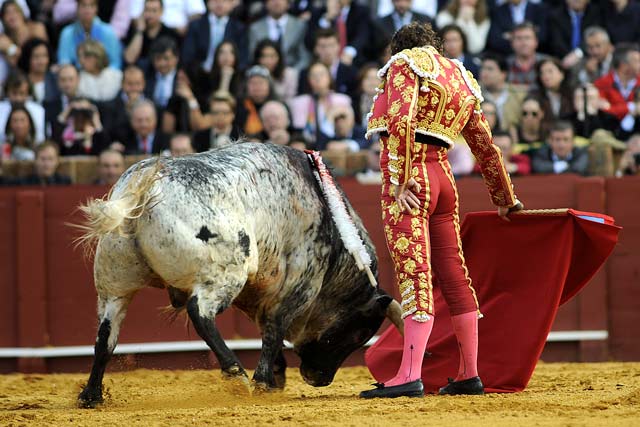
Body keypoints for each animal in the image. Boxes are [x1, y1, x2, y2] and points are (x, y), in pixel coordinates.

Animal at [77, 143, 402, 408]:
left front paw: (275, 378)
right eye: (360, 333)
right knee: (199, 312)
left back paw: (91, 396)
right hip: (225, 274)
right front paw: (264, 382)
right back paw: (236, 375)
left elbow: (267, 329)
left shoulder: (259, 293)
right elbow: (274, 329)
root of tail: (144, 188)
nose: (318, 378)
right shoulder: (300, 284)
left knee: (106, 333)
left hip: (114, 284)